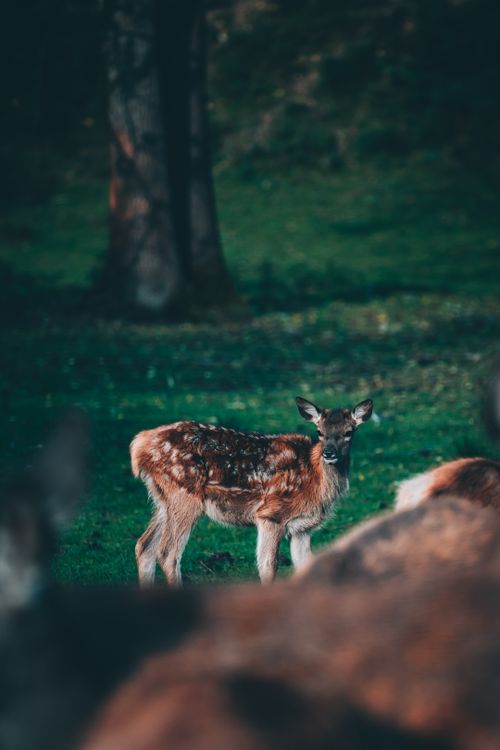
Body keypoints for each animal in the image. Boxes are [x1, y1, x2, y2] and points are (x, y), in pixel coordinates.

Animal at [130, 396, 373, 586]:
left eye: (349, 432)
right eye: (319, 431)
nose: (329, 453)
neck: (316, 481)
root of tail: (138, 445)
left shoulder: (302, 528)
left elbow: (307, 566)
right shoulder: (272, 513)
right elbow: (268, 566)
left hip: (163, 499)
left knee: (144, 546)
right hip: (184, 493)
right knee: (167, 553)